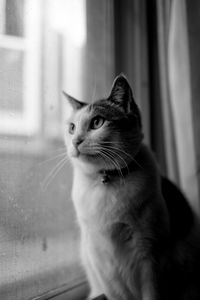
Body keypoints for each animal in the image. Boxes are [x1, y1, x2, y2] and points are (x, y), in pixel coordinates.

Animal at [63, 74, 200, 300]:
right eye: (72, 128)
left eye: (97, 122)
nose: (75, 141)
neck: (106, 180)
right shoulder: (100, 259)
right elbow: (116, 293)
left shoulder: (150, 253)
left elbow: (151, 293)